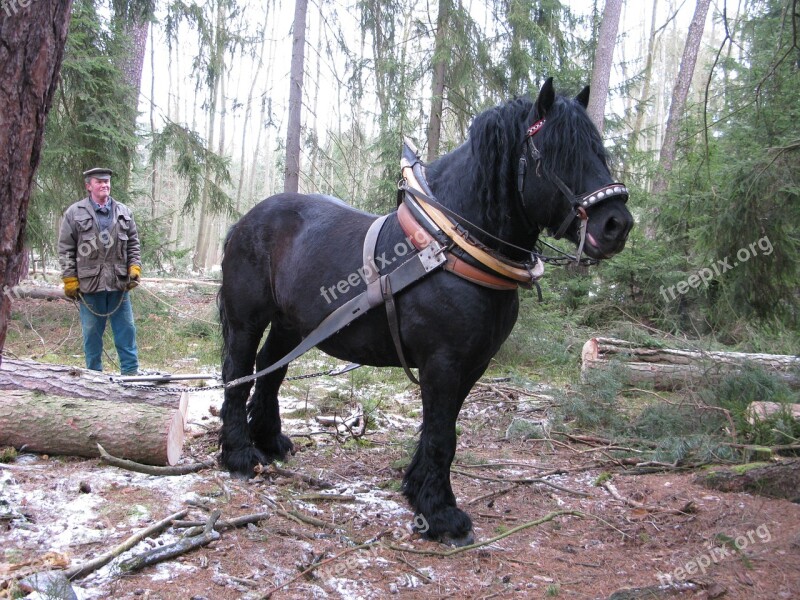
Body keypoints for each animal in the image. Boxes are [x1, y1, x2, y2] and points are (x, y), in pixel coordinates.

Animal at [216, 77, 636, 548]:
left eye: (598, 150)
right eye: (556, 152)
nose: (616, 224)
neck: (452, 244)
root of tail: (245, 220)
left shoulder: (473, 364)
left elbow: (443, 429)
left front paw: (419, 489)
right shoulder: (442, 362)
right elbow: (441, 435)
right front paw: (440, 514)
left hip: (292, 325)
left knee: (270, 370)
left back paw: (270, 441)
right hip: (246, 321)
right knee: (237, 373)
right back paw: (239, 455)